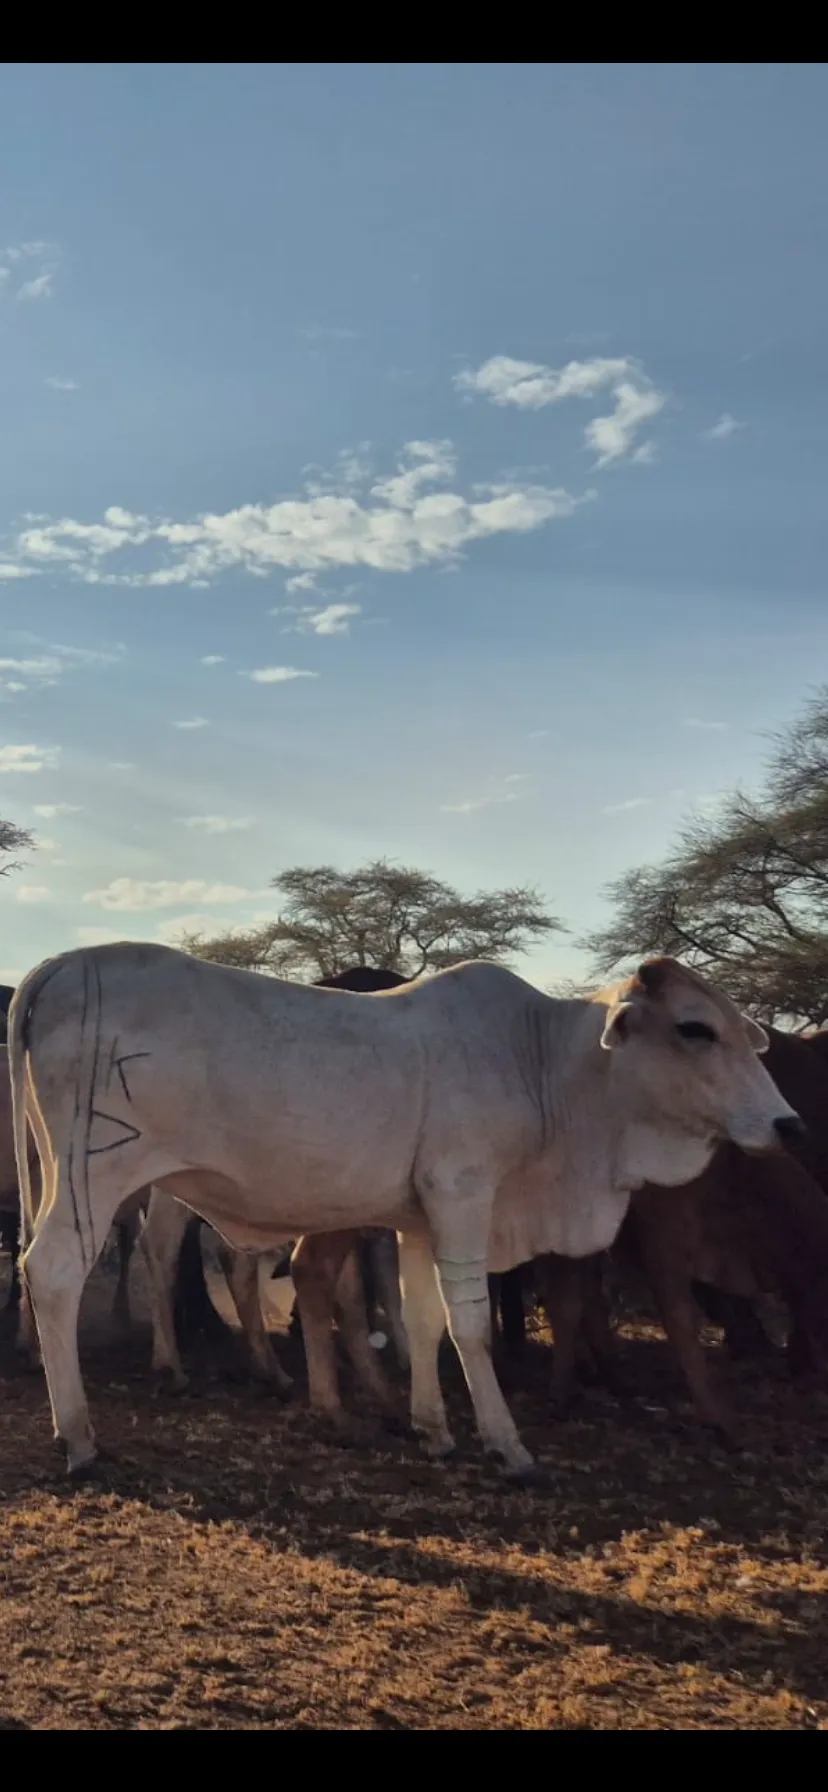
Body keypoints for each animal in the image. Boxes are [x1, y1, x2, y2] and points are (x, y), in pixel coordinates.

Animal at [9, 945, 802, 1480]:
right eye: (695, 1029)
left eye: (744, 1033)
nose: (788, 1125)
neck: (545, 1064)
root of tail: (61, 964)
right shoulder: (463, 1195)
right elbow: (470, 1325)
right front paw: (508, 1445)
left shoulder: (418, 1220)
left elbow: (422, 1321)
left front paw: (433, 1428)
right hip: (98, 1172)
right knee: (53, 1271)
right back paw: (78, 1435)